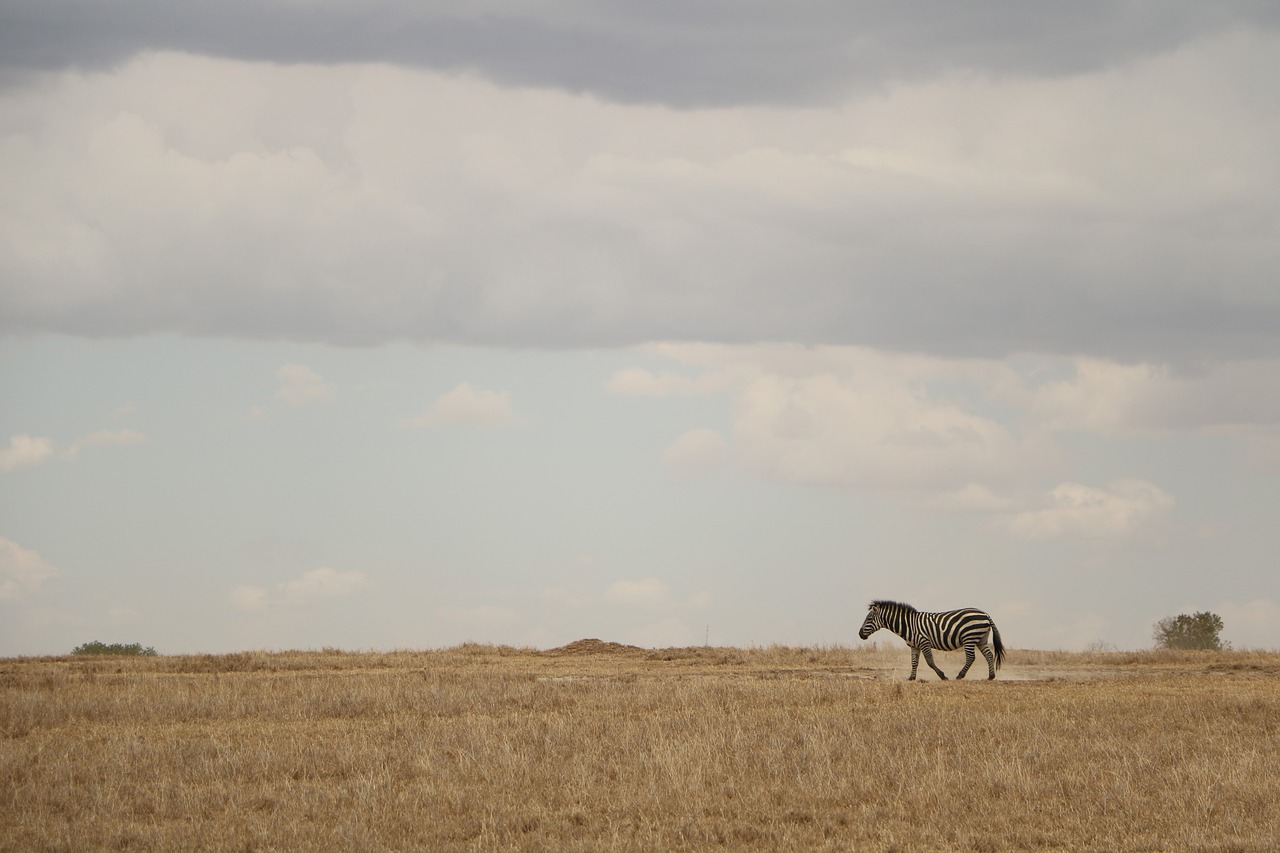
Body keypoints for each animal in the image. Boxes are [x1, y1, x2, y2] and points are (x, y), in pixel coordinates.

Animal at [855, 601, 1003, 681]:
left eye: (869, 619)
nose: (860, 634)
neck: (908, 625)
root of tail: (985, 614)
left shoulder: (924, 642)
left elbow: (930, 662)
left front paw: (943, 676)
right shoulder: (914, 646)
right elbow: (914, 662)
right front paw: (911, 678)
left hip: (969, 637)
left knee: (971, 657)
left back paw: (960, 675)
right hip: (981, 639)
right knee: (989, 655)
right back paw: (991, 676)